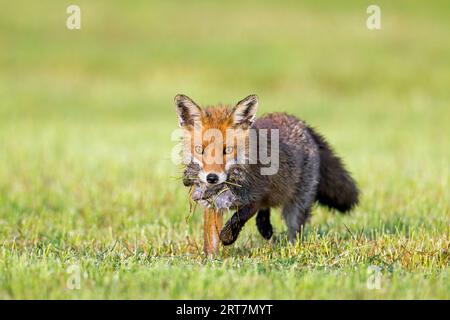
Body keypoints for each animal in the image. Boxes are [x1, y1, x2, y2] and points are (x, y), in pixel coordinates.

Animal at [176, 94, 358, 244]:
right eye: (200, 150)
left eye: (227, 150)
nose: (212, 178)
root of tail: (301, 123)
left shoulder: (258, 194)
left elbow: (240, 216)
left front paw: (227, 237)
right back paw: (265, 228)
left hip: (297, 204)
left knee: (294, 228)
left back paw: (291, 246)